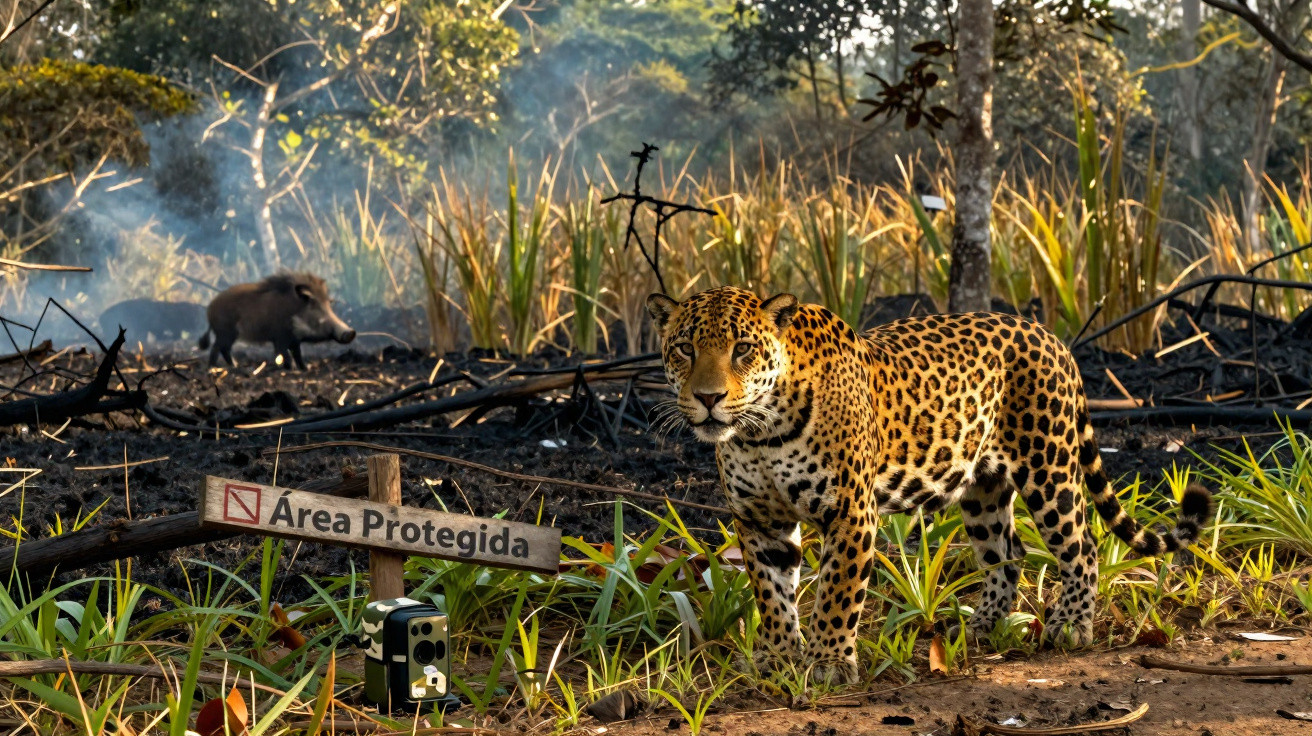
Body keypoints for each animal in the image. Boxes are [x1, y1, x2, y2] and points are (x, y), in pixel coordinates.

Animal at [198, 273, 356, 370]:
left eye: (329, 303)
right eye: (314, 304)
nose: (351, 332)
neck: (294, 312)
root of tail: (210, 308)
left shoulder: (293, 340)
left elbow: (297, 355)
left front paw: (304, 369)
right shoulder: (280, 338)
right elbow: (286, 354)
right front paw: (291, 369)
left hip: (229, 335)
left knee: (224, 349)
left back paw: (234, 366)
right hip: (225, 332)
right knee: (216, 348)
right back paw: (214, 367)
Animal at [647, 286, 1213, 685]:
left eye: (742, 349)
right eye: (683, 348)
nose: (709, 398)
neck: (758, 434)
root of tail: (1048, 335)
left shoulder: (850, 513)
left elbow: (836, 592)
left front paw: (828, 663)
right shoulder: (760, 521)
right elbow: (771, 592)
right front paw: (780, 655)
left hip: (1048, 466)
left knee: (1082, 544)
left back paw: (1071, 625)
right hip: (983, 487)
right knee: (1008, 552)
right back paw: (982, 626)